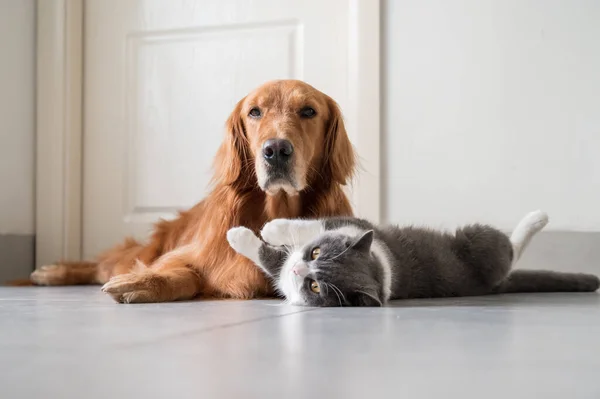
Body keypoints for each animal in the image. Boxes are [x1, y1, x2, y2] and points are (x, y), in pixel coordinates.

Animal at [30, 79, 356, 304]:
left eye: (308, 111)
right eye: (254, 112)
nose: (275, 150)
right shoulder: (195, 253)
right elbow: (187, 272)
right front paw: (143, 282)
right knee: (104, 264)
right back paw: (52, 272)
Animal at [226, 211, 600, 308]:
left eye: (315, 286)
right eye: (315, 252)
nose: (298, 267)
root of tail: (491, 286)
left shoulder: (354, 223)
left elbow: (274, 254)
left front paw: (253, 232)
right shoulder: (356, 224)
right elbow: (318, 224)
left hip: (478, 241)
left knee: (510, 249)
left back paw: (537, 219)